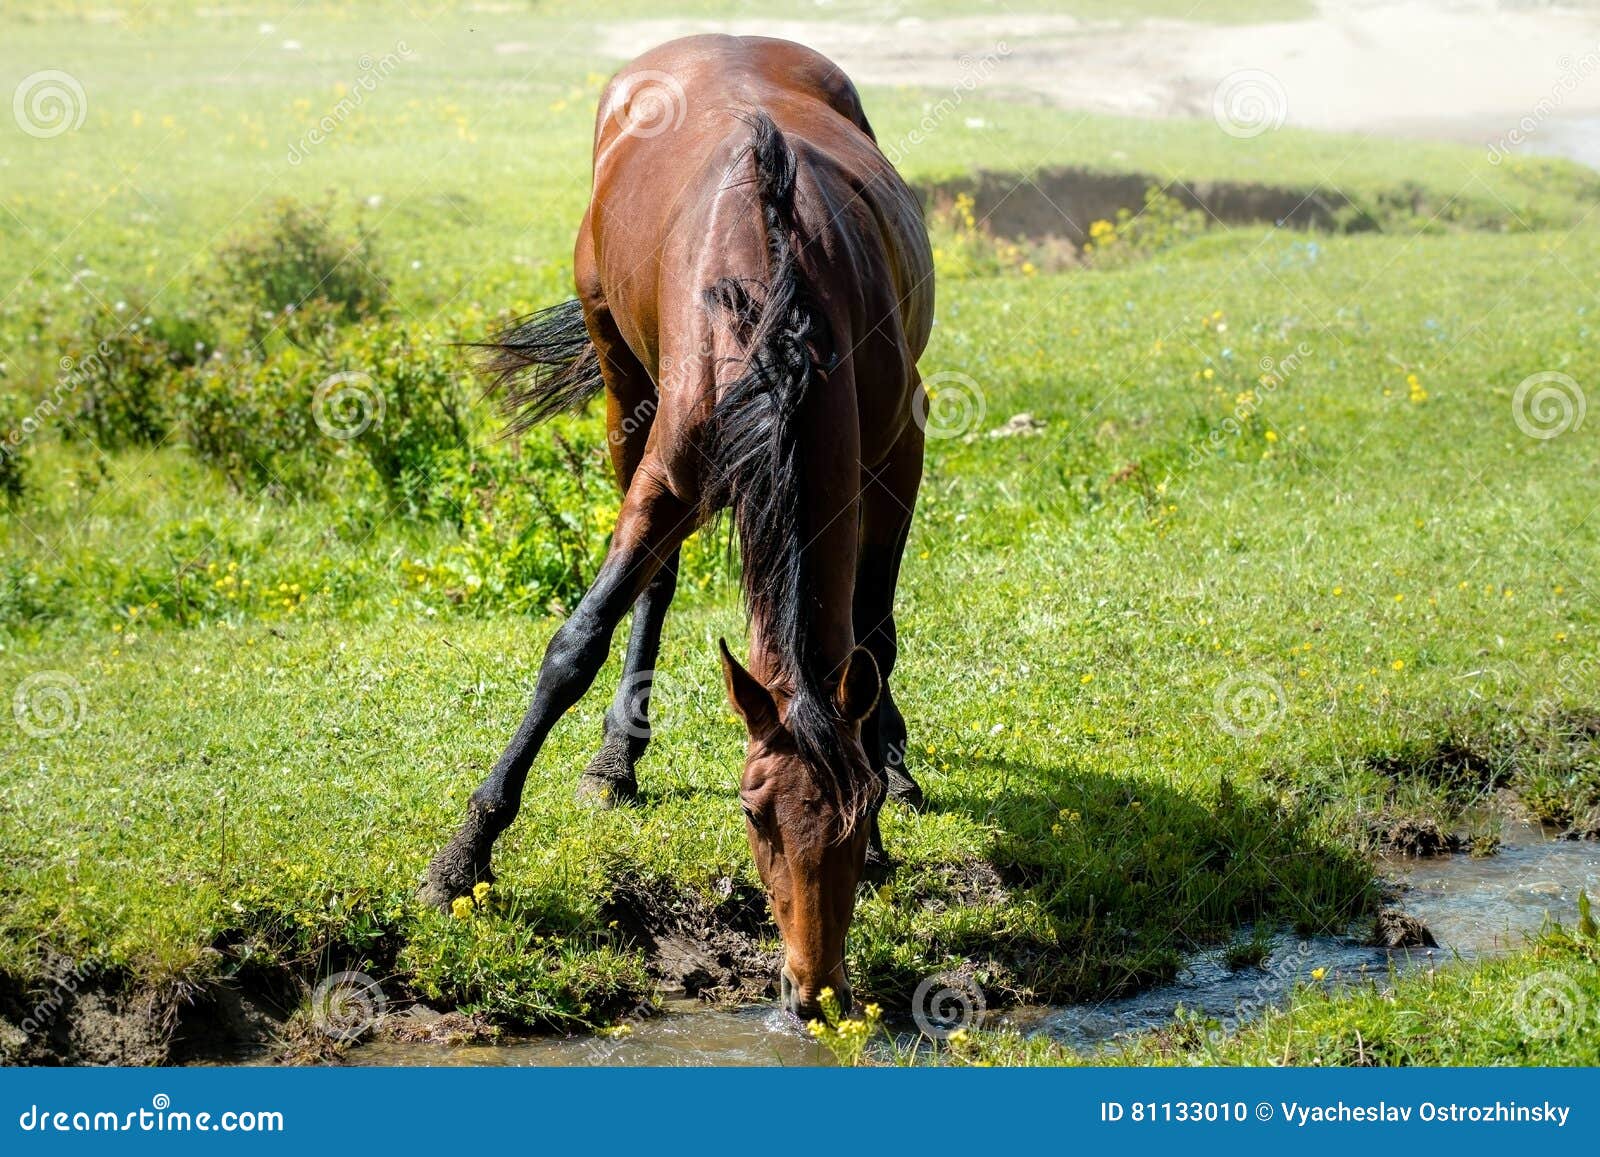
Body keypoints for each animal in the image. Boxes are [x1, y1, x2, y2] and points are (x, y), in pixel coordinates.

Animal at [419, 31, 934, 1017]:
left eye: (850, 826)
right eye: (752, 812)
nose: (811, 990)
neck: (774, 307)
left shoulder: (901, 446)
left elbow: (874, 635)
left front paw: (886, 775)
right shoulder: (665, 474)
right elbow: (575, 642)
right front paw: (463, 857)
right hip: (624, 383)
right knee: (652, 582)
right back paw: (617, 757)